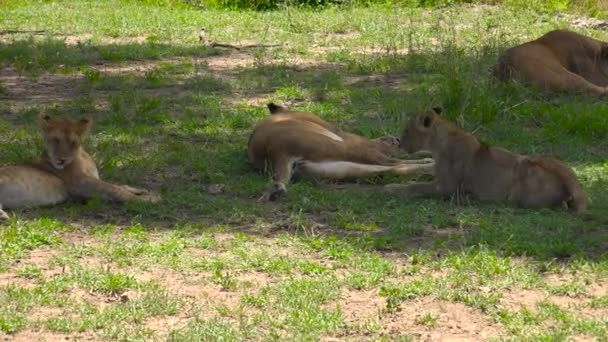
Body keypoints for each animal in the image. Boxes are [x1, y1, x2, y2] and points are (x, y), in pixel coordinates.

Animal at [0, 113, 160, 220]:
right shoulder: (80, 184)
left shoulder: (92, 179)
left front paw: (142, 190)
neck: (80, 156)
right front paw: (149, 200)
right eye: (55, 140)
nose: (61, 160)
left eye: (73, 142)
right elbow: (115, 189)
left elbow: (118, 185)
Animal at [248, 103, 436, 200]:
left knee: (393, 168)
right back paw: (430, 163)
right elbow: (393, 150)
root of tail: (272, 150)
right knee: (392, 162)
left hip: (340, 167)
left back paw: (429, 168)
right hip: (342, 148)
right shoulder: (344, 135)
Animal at [388, 108, 588, 212]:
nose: (399, 143)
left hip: (519, 192)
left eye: (406, 130)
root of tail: (569, 179)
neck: (438, 141)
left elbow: (416, 186)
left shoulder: (447, 187)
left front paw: (391, 188)